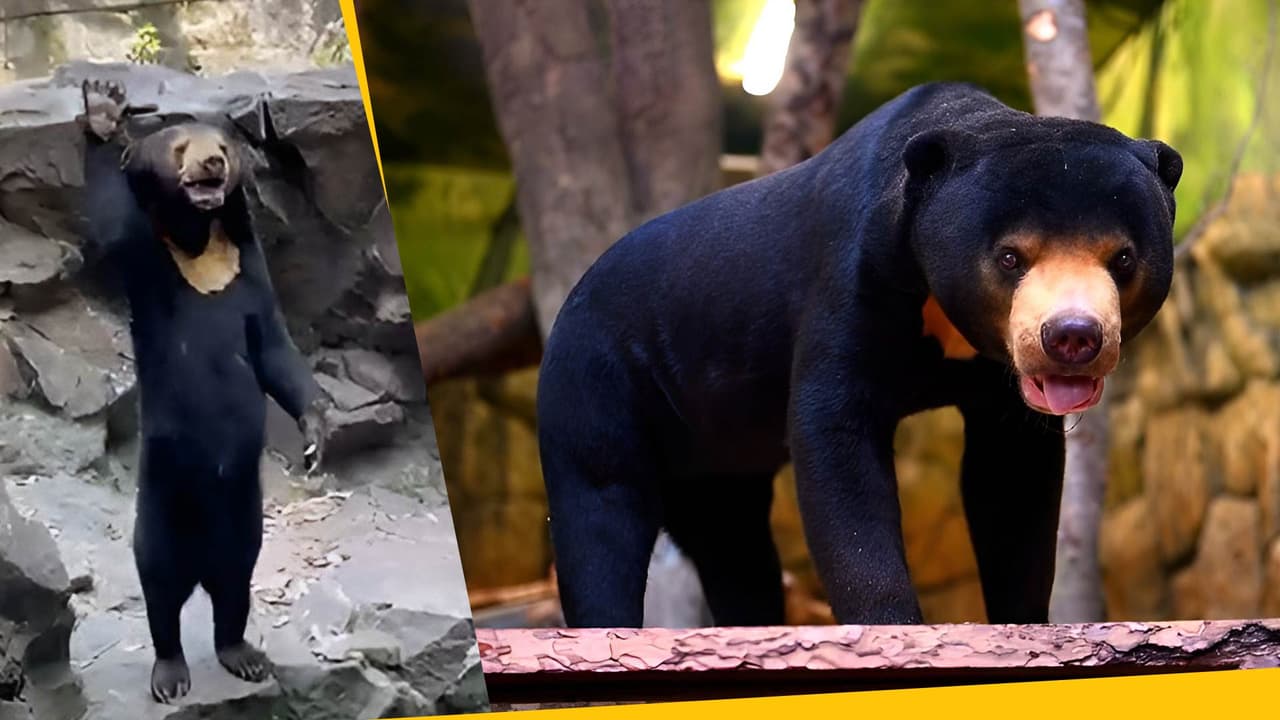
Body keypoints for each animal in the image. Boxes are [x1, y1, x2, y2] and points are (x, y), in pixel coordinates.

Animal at [76, 80, 330, 702]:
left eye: (222, 146)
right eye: (180, 148)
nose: (213, 164)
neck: (202, 247)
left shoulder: (248, 272)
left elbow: (273, 349)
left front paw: (316, 438)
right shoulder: (149, 262)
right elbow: (109, 228)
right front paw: (103, 111)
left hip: (243, 518)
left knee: (235, 583)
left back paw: (244, 655)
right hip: (164, 500)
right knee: (160, 584)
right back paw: (170, 674)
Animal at [535, 82, 1182, 628]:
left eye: (1122, 258)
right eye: (1010, 258)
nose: (1073, 337)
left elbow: (1012, 476)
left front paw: (1023, 623)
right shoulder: (855, 279)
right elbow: (836, 439)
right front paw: (893, 626)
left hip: (712, 457)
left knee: (734, 545)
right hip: (598, 381)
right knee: (601, 508)